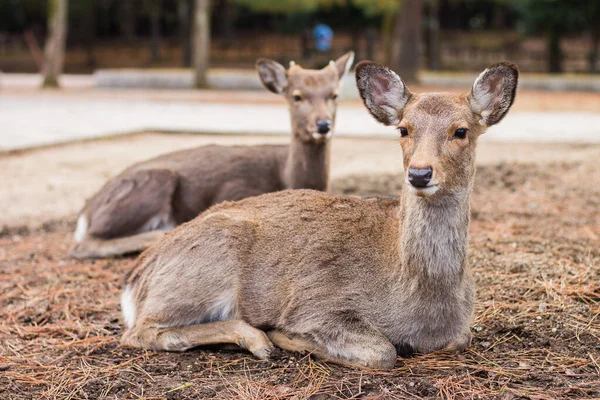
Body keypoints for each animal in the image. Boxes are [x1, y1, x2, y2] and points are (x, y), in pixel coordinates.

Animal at [69, 50, 356, 260]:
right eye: (297, 96)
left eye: (334, 95)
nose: (323, 124)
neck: (288, 176)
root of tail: (86, 211)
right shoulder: (234, 191)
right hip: (153, 182)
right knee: (85, 243)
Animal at [119, 61, 516, 370]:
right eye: (404, 129)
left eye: (461, 131)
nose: (419, 173)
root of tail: (134, 280)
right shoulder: (316, 302)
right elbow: (381, 352)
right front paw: (285, 336)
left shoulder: (460, 330)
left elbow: (461, 338)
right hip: (206, 266)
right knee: (141, 331)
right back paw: (257, 338)